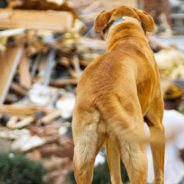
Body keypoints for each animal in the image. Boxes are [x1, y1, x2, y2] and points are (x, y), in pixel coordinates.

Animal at [71, 5, 164, 184]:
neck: (126, 36)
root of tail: (103, 94)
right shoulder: (156, 124)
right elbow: (159, 172)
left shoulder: (111, 139)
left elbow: (114, 173)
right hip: (137, 153)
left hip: (83, 153)